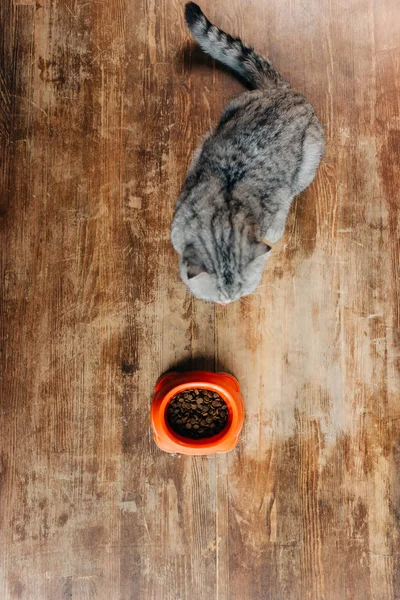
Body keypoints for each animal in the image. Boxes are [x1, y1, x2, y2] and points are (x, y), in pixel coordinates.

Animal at [171, 3, 324, 304]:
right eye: (219, 293)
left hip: (308, 158)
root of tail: (282, 91)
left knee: (293, 191)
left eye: (241, 289)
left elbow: (283, 201)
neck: (223, 219)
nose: (229, 301)